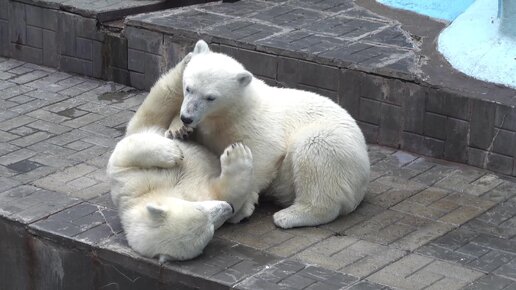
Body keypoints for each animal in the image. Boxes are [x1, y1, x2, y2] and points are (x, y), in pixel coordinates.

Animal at [178, 40, 370, 229]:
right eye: (188, 88)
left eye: (210, 97)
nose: (186, 117)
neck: (236, 112)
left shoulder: (257, 126)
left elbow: (262, 157)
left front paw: (241, 209)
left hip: (336, 147)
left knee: (315, 154)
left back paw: (288, 216)